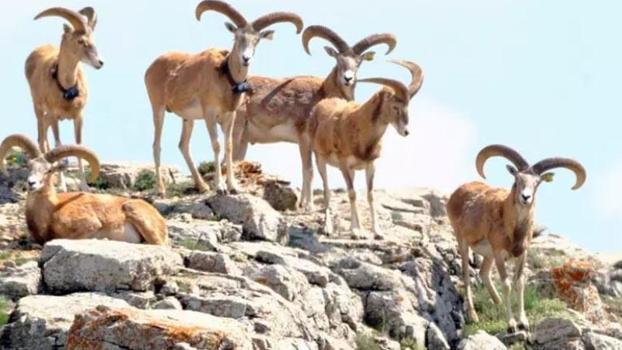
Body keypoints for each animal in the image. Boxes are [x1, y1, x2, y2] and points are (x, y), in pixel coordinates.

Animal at [0, 134, 168, 246]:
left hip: (134, 211)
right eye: (29, 166)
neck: (52, 210)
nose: (31, 183)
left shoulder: (90, 224)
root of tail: (159, 218)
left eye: (49, 170)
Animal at [26, 5, 104, 190]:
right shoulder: (55, 116)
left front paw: (84, 186)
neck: (67, 89)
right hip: (39, 109)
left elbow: (78, 147)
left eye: (93, 39)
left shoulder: (78, 117)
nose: (100, 62)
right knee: (42, 138)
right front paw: (62, 186)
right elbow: (59, 145)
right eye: (81, 41)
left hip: (47, 116)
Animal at [146, 0, 302, 196]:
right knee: (156, 145)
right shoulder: (210, 114)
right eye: (237, 37)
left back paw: (202, 186)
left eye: (256, 40)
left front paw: (233, 186)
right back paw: (161, 189)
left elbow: (228, 146)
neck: (224, 77)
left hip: (188, 118)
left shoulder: (230, 116)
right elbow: (217, 145)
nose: (245, 58)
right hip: (158, 108)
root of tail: (151, 68)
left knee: (183, 145)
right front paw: (220, 187)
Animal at [306, 60, 426, 238]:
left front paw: (377, 232)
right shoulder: (343, 164)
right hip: (320, 159)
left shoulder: (370, 165)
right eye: (395, 107)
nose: (406, 132)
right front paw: (357, 231)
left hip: (352, 170)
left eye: (407, 106)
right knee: (327, 190)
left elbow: (370, 195)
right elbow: (352, 193)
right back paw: (328, 228)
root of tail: (317, 109)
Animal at [446, 145, 588, 334]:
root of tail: (457, 193)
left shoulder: (521, 254)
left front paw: (523, 323)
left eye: (537, 183)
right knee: (467, 276)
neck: (512, 229)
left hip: (488, 256)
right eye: (517, 178)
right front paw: (511, 325)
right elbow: (506, 284)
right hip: (463, 242)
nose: (525, 197)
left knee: (484, 273)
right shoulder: (499, 253)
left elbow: (519, 283)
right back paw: (473, 315)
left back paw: (498, 304)